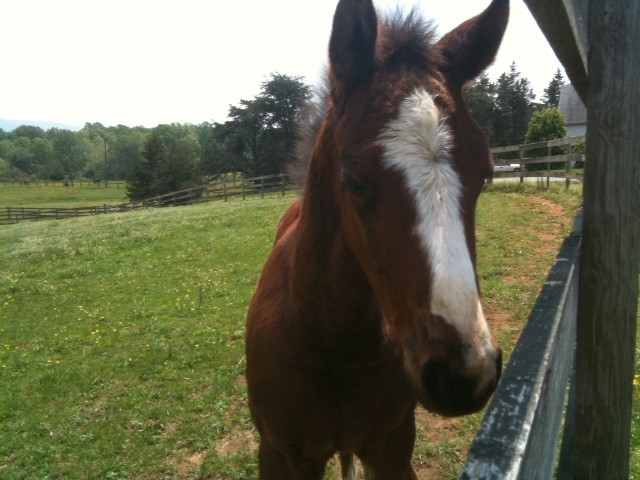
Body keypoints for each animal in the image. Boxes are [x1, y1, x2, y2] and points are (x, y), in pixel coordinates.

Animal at [245, 0, 509, 478]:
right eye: (353, 180)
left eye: (486, 172)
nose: (464, 373)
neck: (334, 343)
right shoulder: (281, 455)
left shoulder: (391, 447)